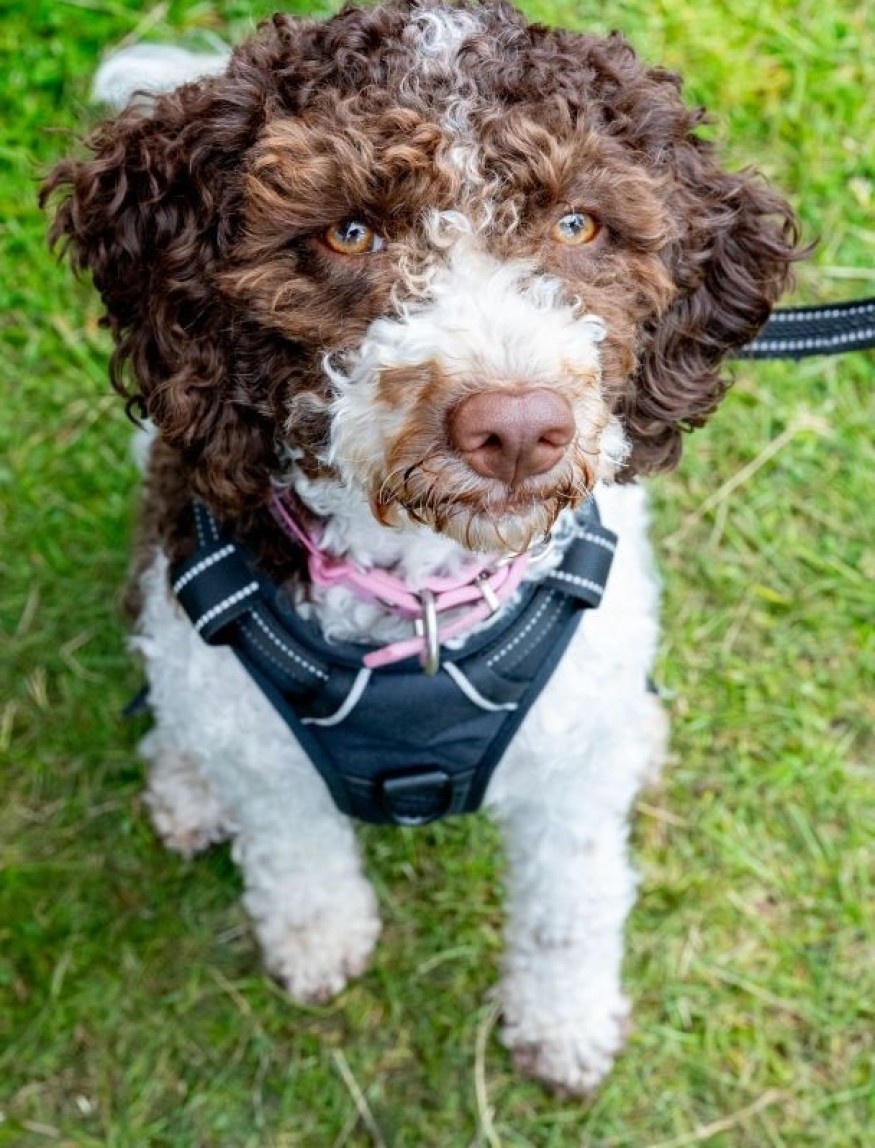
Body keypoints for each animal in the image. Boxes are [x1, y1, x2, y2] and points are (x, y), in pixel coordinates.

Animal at [42, 0, 799, 1095]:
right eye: (350, 230)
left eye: (577, 223)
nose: (517, 427)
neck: (425, 607)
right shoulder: (264, 754)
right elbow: (295, 854)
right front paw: (317, 941)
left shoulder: (568, 789)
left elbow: (570, 908)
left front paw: (564, 1027)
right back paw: (184, 786)